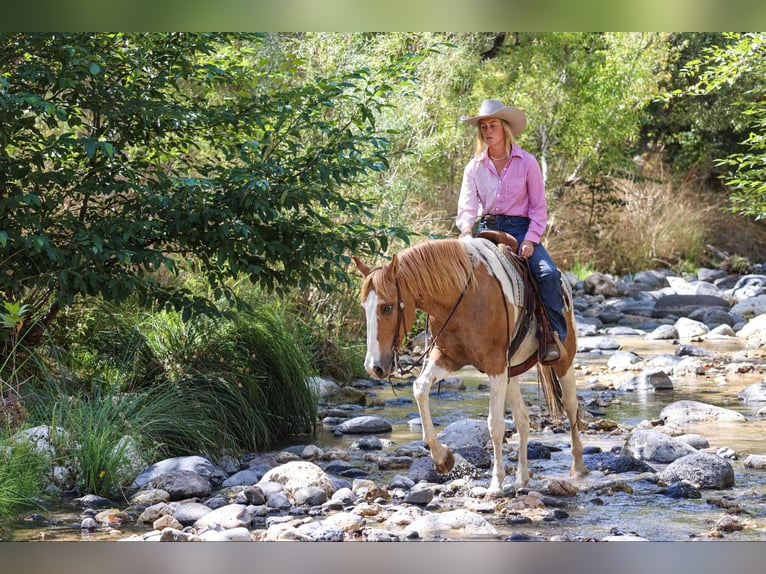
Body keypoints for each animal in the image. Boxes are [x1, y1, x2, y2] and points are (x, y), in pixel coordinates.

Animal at [352, 236, 588, 497]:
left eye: (387, 307)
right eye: (364, 307)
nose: (374, 367)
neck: (464, 297)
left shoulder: (495, 365)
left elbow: (495, 425)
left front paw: (495, 484)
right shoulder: (447, 358)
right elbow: (419, 388)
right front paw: (443, 459)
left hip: (563, 361)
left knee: (571, 407)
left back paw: (577, 468)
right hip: (512, 372)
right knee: (523, 419)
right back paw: (521, 478)